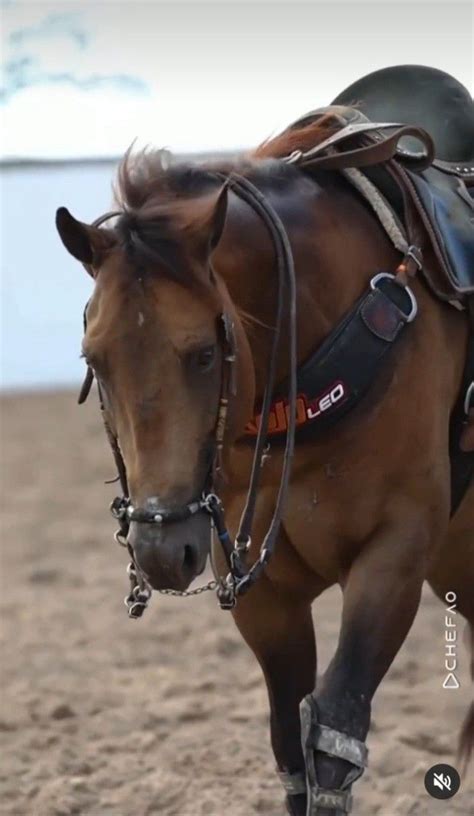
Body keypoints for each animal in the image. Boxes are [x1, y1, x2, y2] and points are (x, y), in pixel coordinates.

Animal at [56, 86, 474, 812]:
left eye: (203, 354)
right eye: (95, 359)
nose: (160, 549)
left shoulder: (397, 552)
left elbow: (334, 735)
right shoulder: (262, 591)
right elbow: (289, 748)